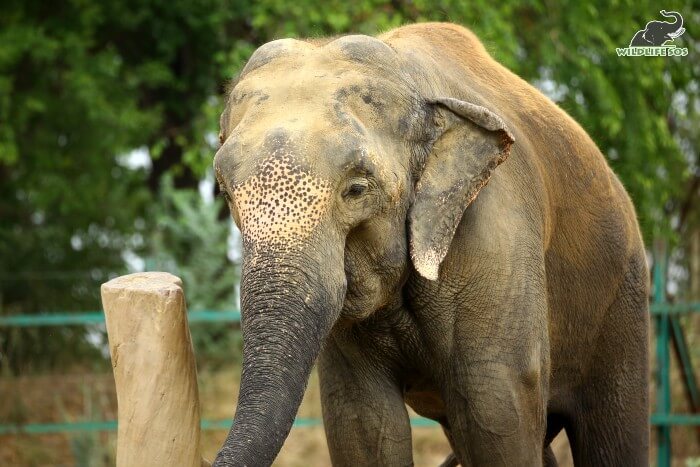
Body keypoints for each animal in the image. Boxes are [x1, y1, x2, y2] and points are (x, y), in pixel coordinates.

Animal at [212, 22, 652, 467]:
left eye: (356, 190)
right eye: (226, 193)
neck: (409, 76)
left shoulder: (495, 232)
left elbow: (496, 405)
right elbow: (362, 419)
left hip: (623, 296)